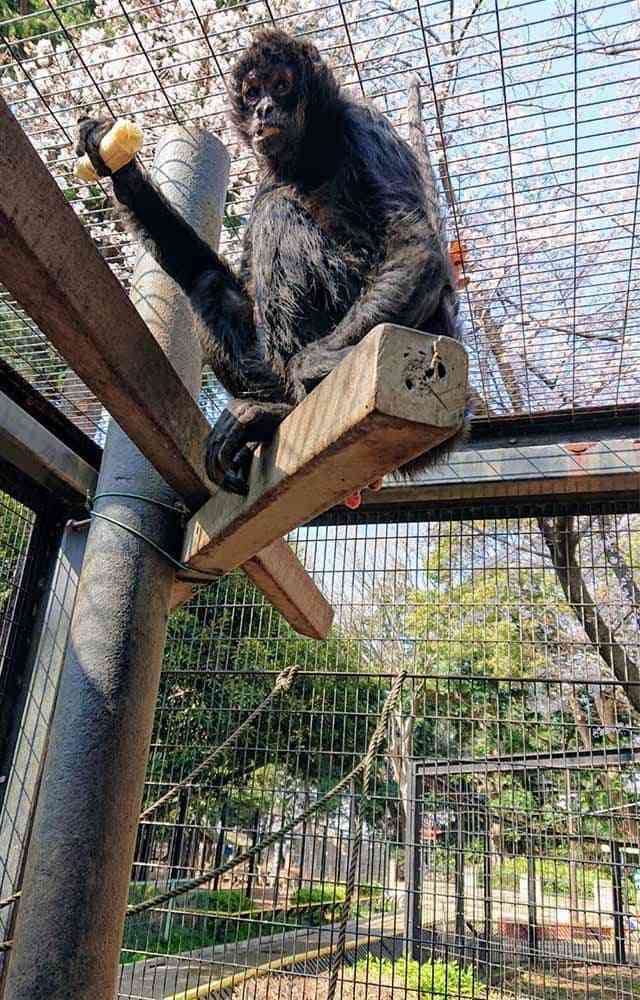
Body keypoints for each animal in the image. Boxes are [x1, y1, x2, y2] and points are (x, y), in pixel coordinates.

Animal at [77, 30, 462, 496]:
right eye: (252, 91)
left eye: (281, 85)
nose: (263, 109)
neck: (311, 149)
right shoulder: (268, 171)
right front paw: (123, 172)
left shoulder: (363, 123)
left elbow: (414, 244)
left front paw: (310, 365)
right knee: (211, 280)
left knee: (276, 213)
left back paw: (284, 404)